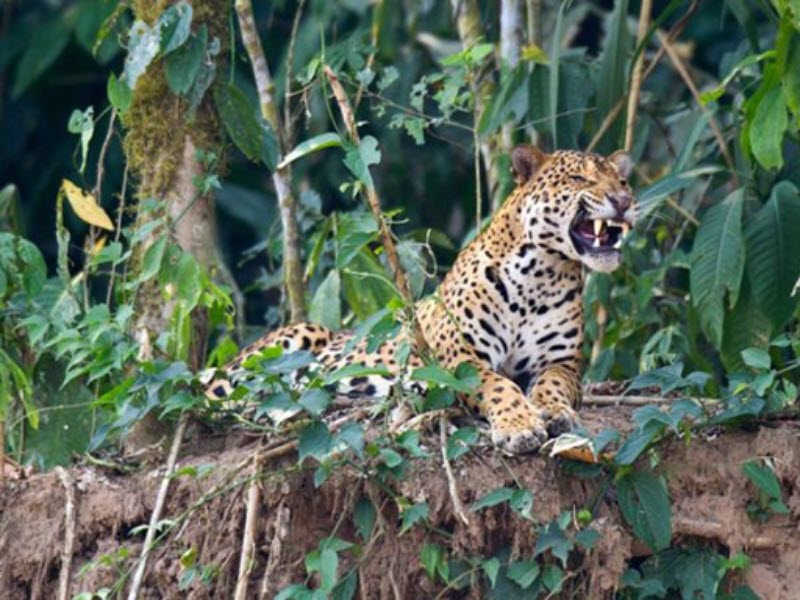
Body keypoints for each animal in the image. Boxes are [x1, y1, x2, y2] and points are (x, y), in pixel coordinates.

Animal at [205, 145, 637, 454]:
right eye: (579, 177)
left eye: (622, 180)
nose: (623, 200)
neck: (541, 278)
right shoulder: (461, 362)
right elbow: (501, 387)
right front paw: (519, 427)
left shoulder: (561, 363)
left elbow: (552, 385)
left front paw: (553, 411)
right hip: (289, 340)